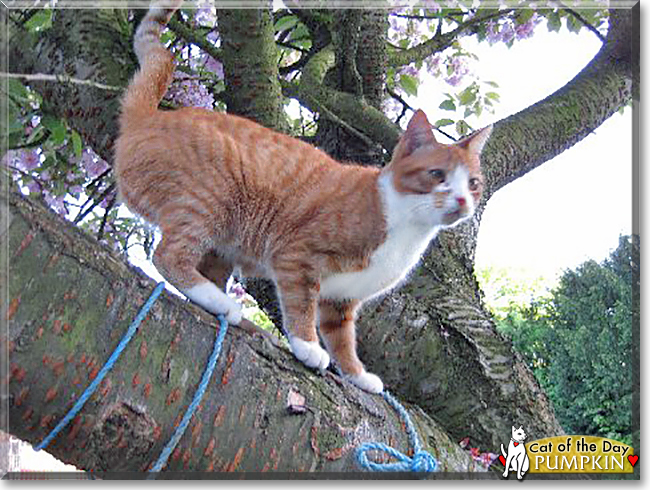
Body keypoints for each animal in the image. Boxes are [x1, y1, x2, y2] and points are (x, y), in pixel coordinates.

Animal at [116, 0, 492, 390]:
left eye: (473, 183)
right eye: (437, 176)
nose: (463, 201)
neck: (406, 225)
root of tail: (147, 118)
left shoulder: (342, 301)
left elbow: (343, 339)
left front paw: (357, 375)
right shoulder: (296, 255)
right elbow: (300, 307)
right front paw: (307, 346)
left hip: (223, 243)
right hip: (209, 200)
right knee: (169, 257)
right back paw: (223, 304)